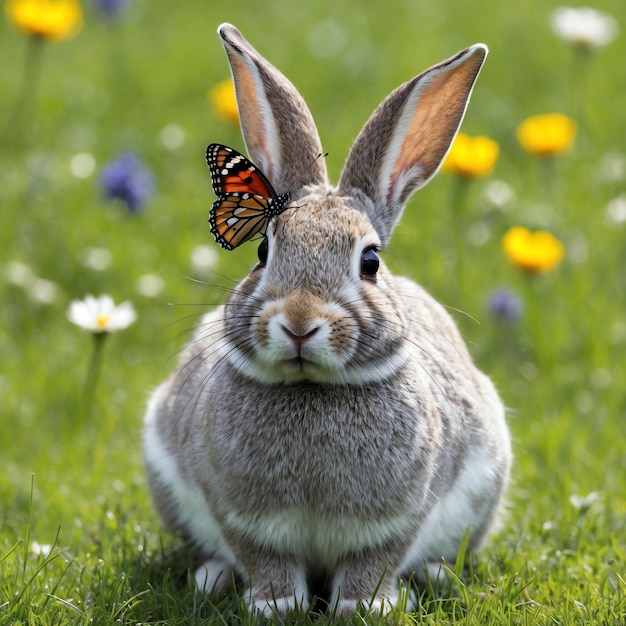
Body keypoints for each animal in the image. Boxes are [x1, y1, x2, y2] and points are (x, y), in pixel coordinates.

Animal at [144, 22, 510, 616]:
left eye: (371, 261)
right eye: (262, 252)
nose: (298, 322)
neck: (312, 387)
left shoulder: (398, 521)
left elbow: (374, 562)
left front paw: (365, 608)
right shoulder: (242, 519)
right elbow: (262, 558)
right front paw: (273, 606)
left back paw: (434, 575)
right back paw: (212, 577)